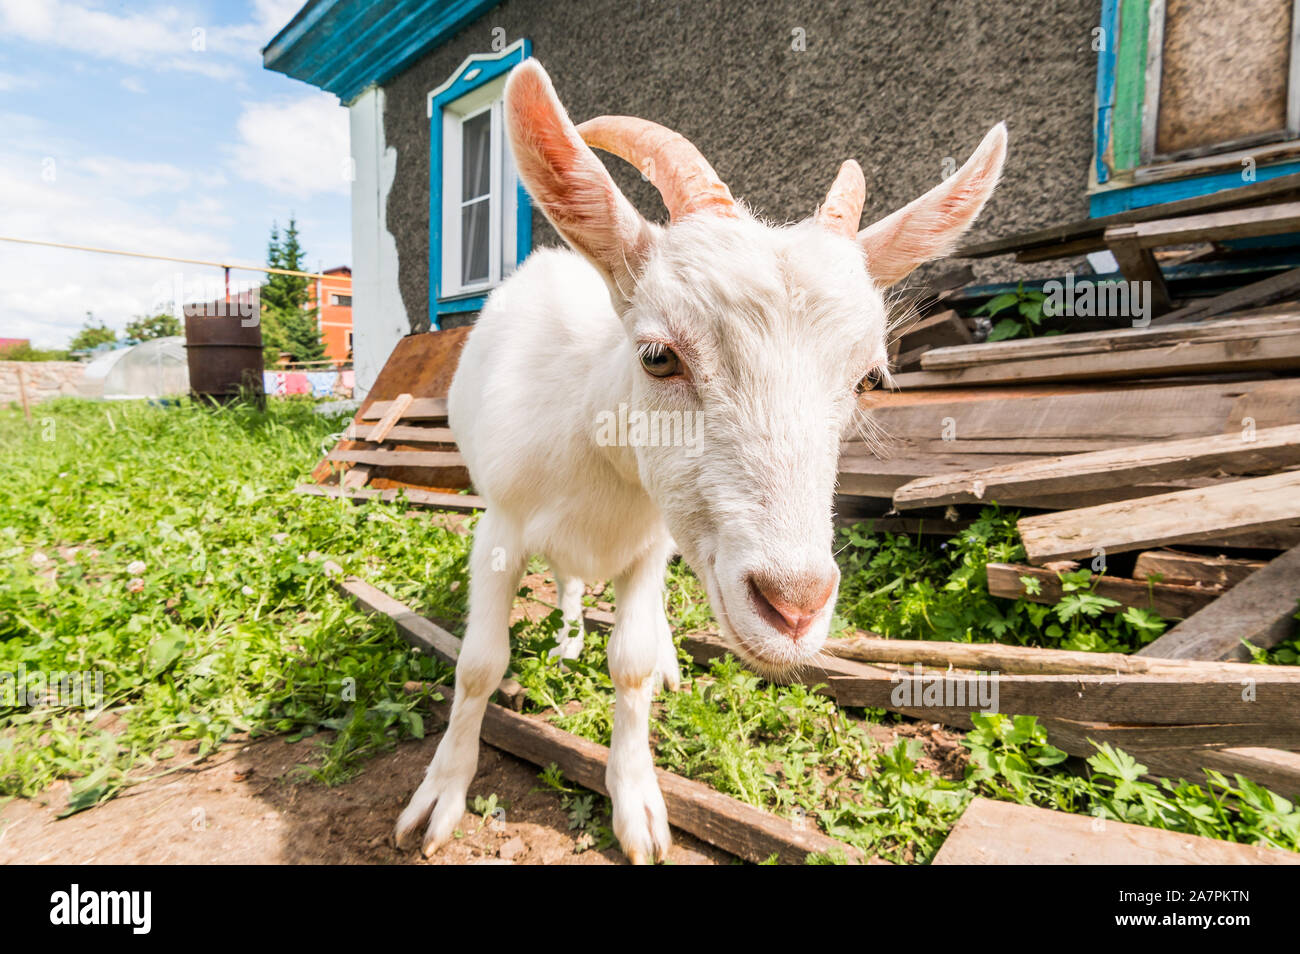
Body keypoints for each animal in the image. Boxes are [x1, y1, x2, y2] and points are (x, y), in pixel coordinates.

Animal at [396, 59, 1006, 863]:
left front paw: (637, 804)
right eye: (659, 355)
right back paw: (566, 637)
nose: (794, 608)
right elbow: (478, 666)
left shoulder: (648, 545)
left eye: (869, 379)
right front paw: (440, 795)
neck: (598, 451)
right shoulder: (499, 528)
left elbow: (629, 662)